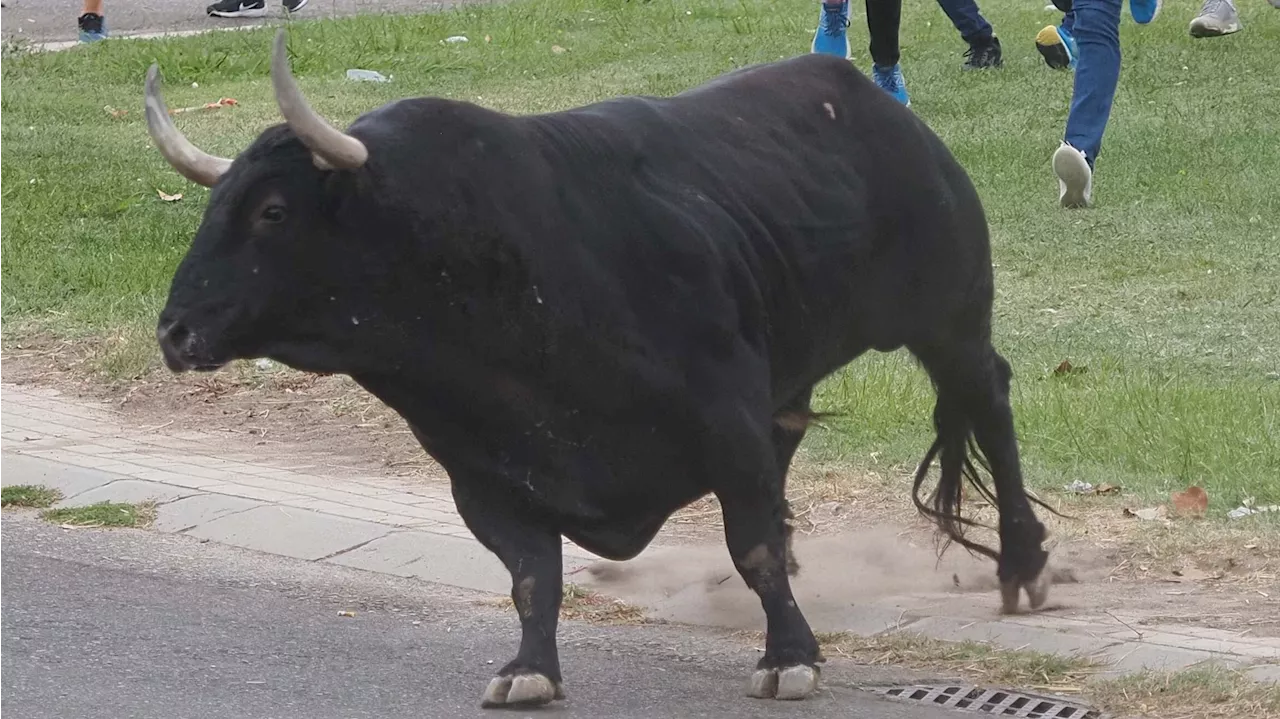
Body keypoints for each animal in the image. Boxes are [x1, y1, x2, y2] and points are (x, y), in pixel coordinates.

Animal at [147, 32, 1049, 706]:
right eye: (212, 206)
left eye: (271, 211)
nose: (174, 330)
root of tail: (879, 107)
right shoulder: (484, 471)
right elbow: (531, 574)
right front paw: (529, 669)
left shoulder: (726, 421)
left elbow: (750, 543)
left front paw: (789, 655)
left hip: (949, 318)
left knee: (990, 404)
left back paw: (1023, 562)